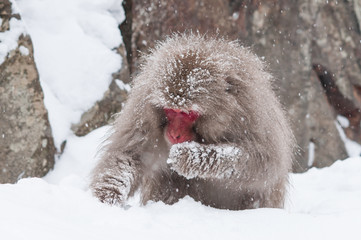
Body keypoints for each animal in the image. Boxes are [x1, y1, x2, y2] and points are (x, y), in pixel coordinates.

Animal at [89, 33, 292, 210]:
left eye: (189, 114)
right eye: (170, 111)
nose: (174, 133)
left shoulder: (252, 113)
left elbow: (264, 163)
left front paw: (190, 158)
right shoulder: (143, 108)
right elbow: (129, 154)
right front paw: (106, 197)